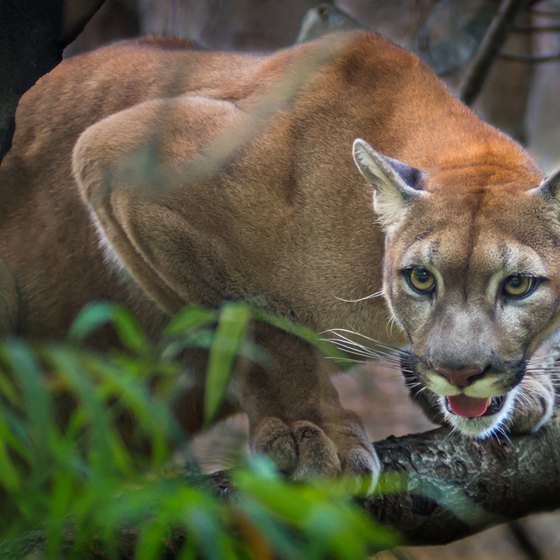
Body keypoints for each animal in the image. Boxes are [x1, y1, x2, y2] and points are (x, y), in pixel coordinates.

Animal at [0, 30, 556, 488]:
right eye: (421, 278)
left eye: (517, 285)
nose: (461, 373)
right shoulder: (121, 157)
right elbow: (258, 325)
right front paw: (310, 430)